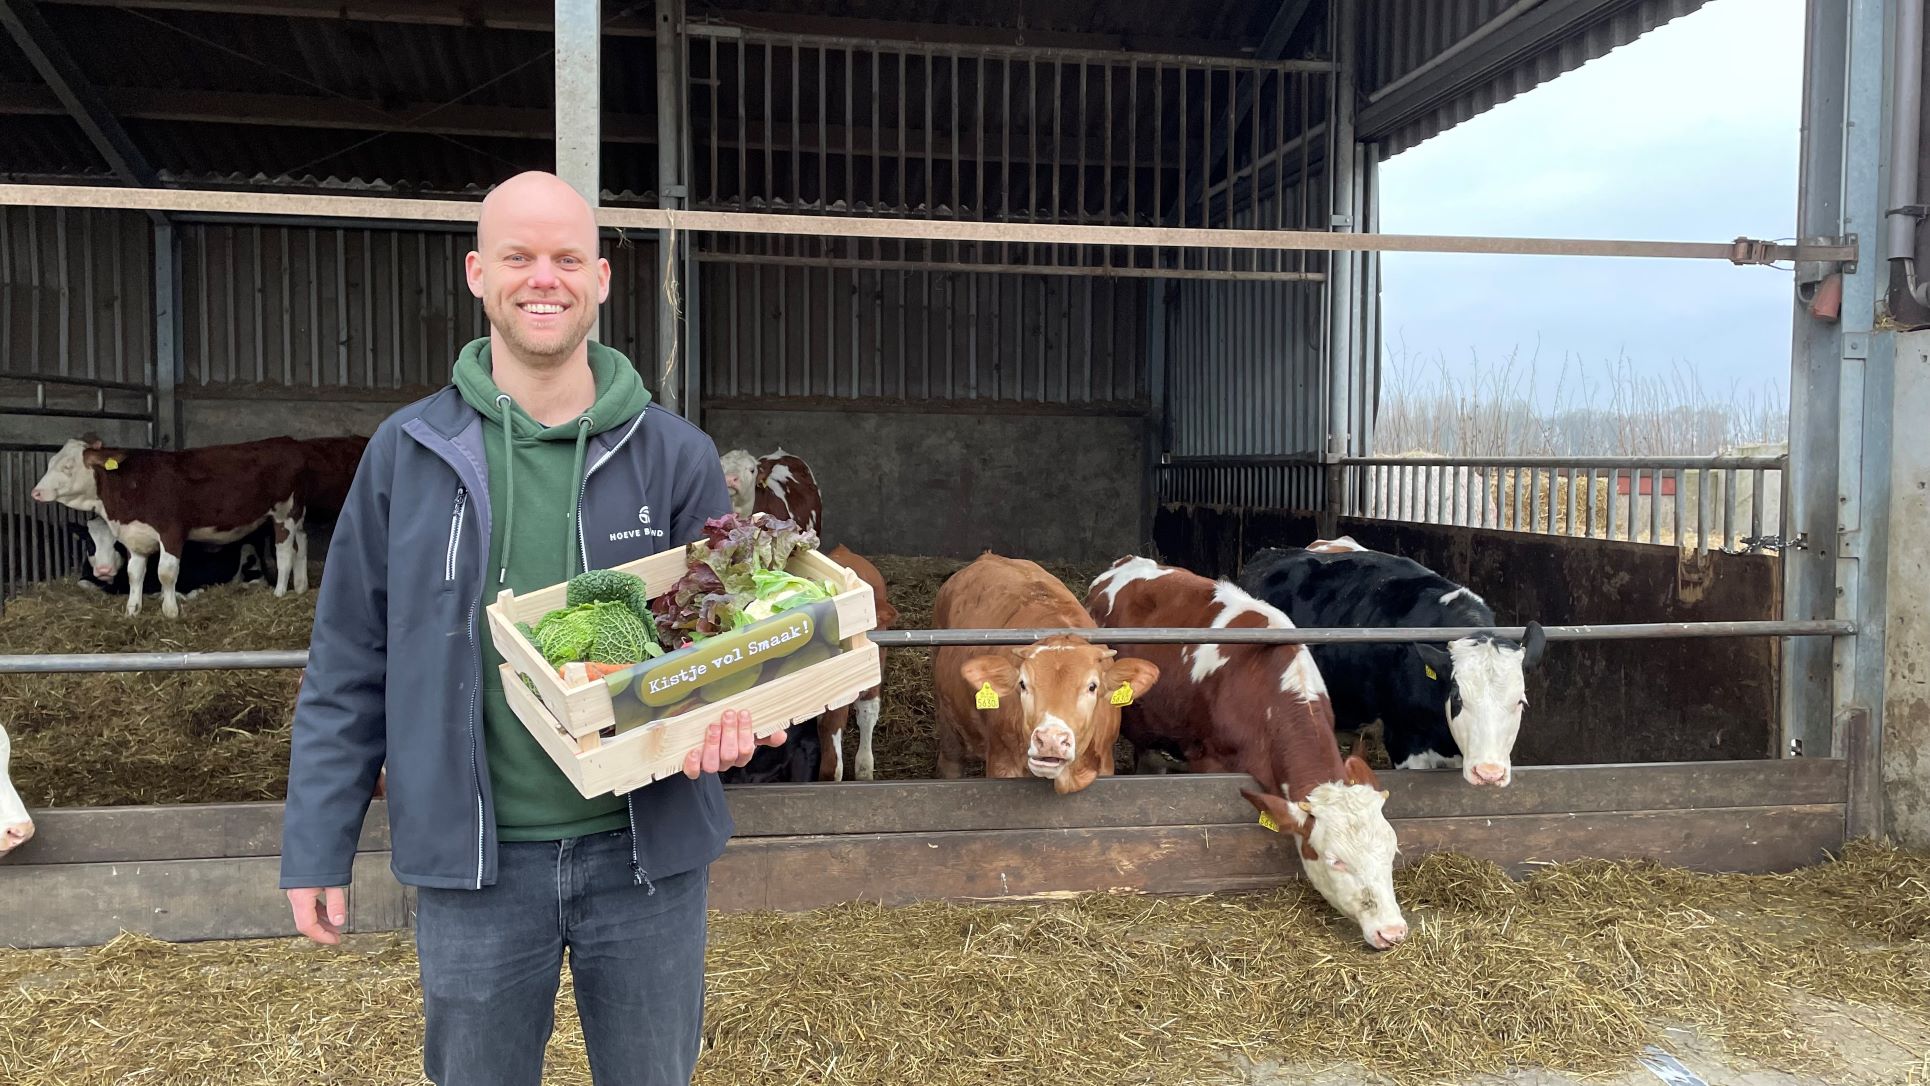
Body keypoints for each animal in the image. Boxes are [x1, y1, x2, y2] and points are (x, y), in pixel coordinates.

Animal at [934, 555, 1158, 794]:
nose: (1051, 740)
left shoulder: (1105, 763)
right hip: (947, 721)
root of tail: (988, 556)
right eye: (1022, 684)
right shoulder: (1001, 764)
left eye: (1092, 686)